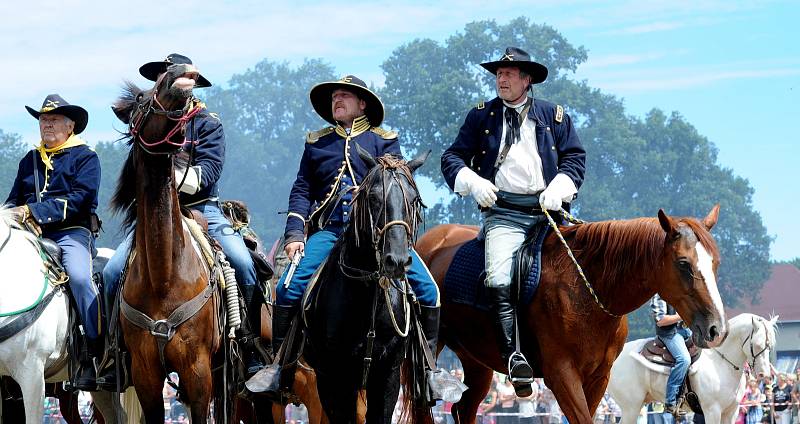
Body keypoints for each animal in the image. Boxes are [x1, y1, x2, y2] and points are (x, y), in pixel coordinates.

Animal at [416, 204, 728, 422]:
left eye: (715, 262)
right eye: (683, 263)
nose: (716, 329)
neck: (587, 289)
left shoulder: (598, 378)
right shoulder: (562, 375)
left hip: (476, 362)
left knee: (463, 409)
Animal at [608, 312, 776, 424]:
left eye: (770, 346)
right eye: (758, 344)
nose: (764, 375)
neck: (720, 362)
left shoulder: (731, 412)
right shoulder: (712, 411)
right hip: (631, 407)